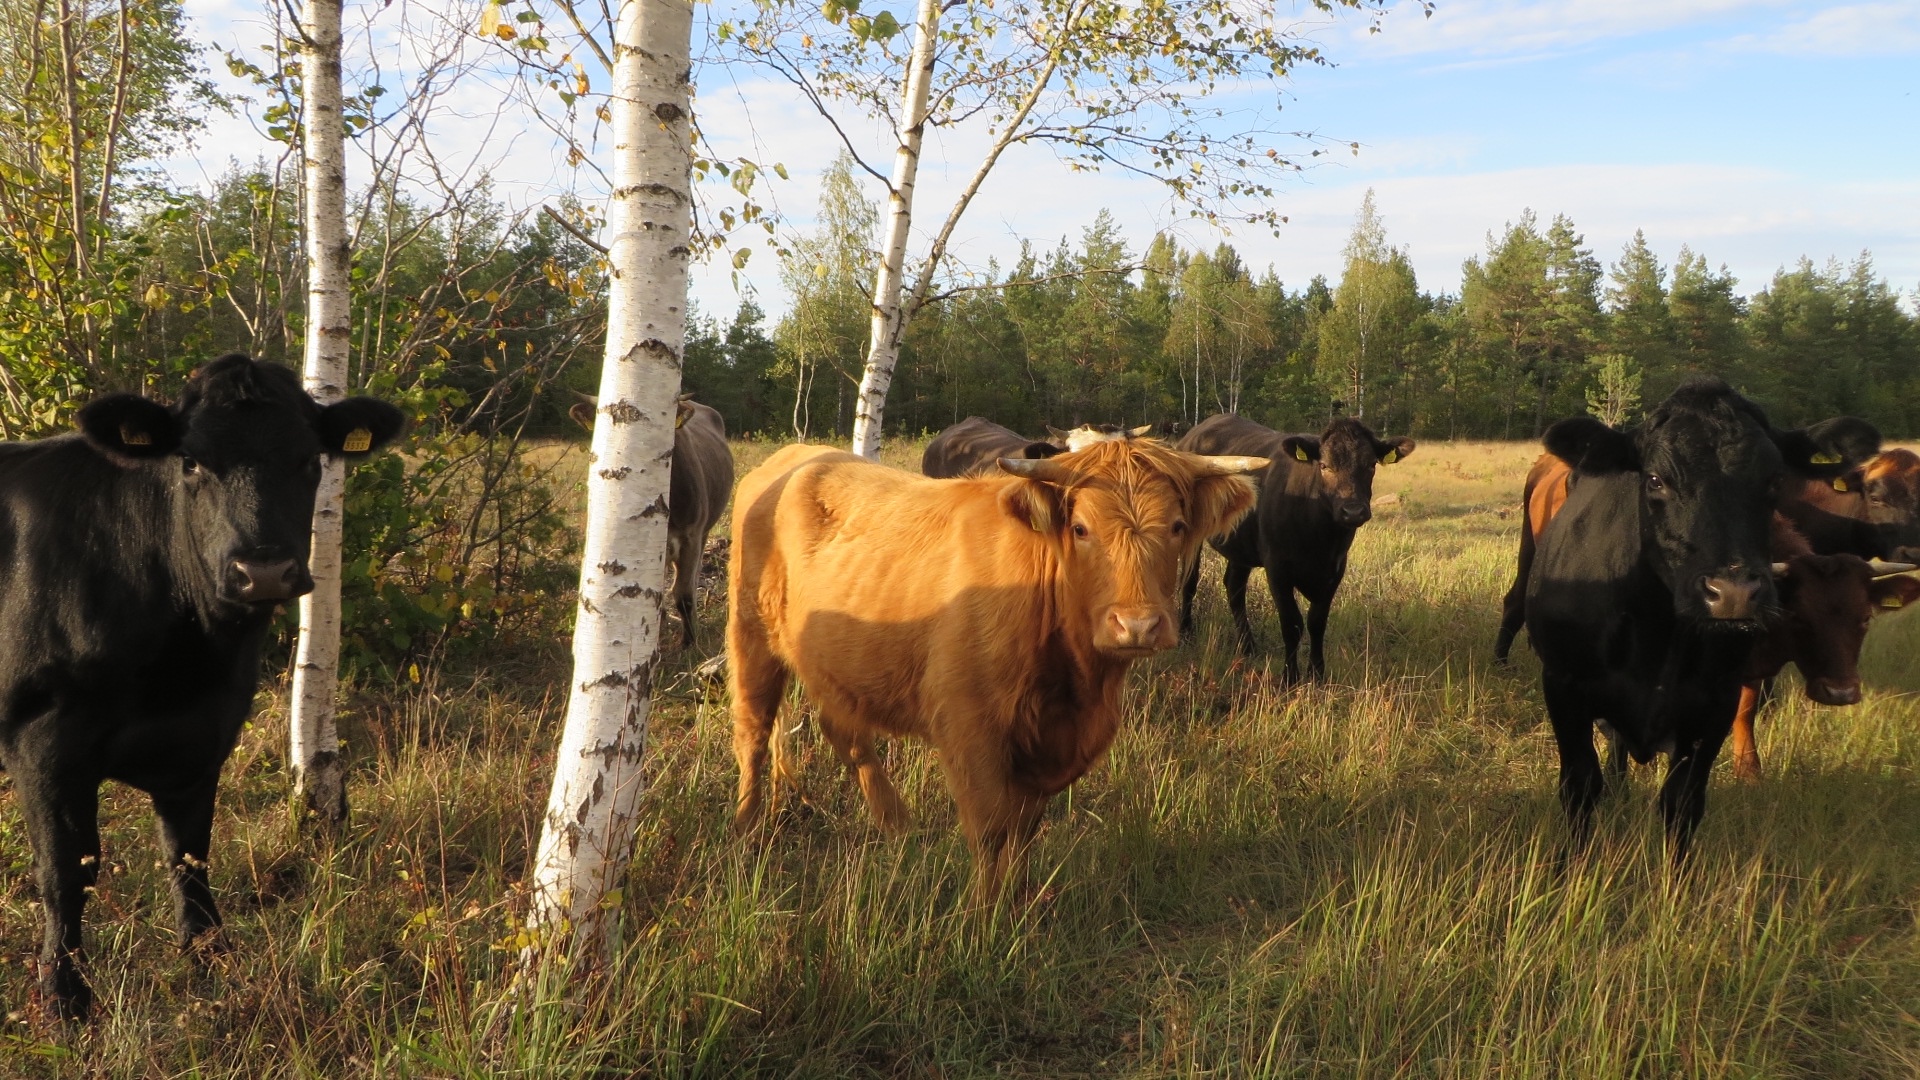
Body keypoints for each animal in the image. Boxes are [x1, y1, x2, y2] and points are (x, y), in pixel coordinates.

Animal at [0, 355, 401, 1014]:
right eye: (190, 461)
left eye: (309, 458)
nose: (263, 570)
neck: (182, 666)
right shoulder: (42, 741)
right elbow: (65, 871)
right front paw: (66, 997)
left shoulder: (204, 734)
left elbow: (189, 854)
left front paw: (212, 961)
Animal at [725, 438, 1267, 891]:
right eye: (1081, 528)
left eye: (1177, 527)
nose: (1137, 625)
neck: (1074, 681)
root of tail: (796, 455)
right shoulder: (970, 727)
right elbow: (990, 829)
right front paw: (984, 917)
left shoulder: (1051, 742)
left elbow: (1023, 831)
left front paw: (1019, 900)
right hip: (750, 635)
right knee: (754, 731)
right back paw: (746, 832)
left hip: (840, 663)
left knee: (843, 731)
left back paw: (897, 827)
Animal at [1167, 411, 1413, 680]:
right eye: (1324, 465)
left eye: (1371, 465)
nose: (1353, 511)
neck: (1321, 540)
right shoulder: (1277, 568)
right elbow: (1292, 622)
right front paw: (1290, 677)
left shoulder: (1335, 569)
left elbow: (1317, 622)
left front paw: (1317, 674)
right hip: (1191, 533)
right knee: (1190, 581)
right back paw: (1187, 634)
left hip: (1241, 545)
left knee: (1234, 587)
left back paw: (1248, 646)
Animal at [1528, 378, 1873, 857]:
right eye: (1655, 479)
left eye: (1775, 479)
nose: (1732, 594)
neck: (1657, 637)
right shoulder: (1563, 687)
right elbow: (1580, 788)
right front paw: (1572, 869)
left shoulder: (1715, 704)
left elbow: (1683, 802)